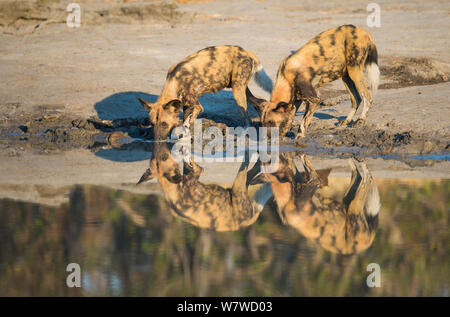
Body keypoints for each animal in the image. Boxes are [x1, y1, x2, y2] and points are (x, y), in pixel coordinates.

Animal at [135, 45, 272, 139]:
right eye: (153, 124)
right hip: (239, 89)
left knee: (247, 119)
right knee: (261, 102)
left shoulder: (197, 106)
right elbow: (185, 119)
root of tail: (245, 51)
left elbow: (188, 121)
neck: (174, 81)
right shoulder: (186, 104)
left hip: (237, 92)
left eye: (164, 124)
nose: (157, 139)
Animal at [136, 143, 270, 230]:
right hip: (238, 188)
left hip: (240, 187)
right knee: (250, 164)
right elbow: (194, 163)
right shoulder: (196, 172)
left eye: (162, 157)